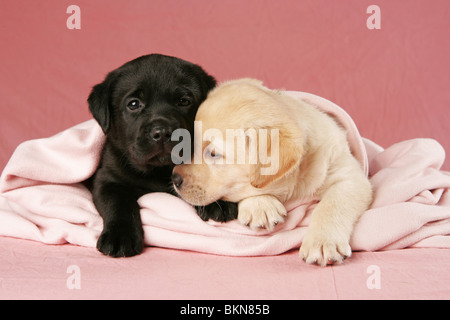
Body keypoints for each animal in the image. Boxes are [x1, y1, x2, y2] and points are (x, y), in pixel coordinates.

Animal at [86, 53, 237, 258]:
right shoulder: (107, 179)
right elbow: (118, 204)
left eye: (184, 101)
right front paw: (119, 236)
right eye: (133, 104)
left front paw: (220, 202)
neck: (159, 171)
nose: (163, 132)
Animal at [172, 79, 372, 266]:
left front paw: (322, 243)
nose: (174, 178)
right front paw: (260, 206)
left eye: (213, 153)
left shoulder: (348, 174)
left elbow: (332, 205)